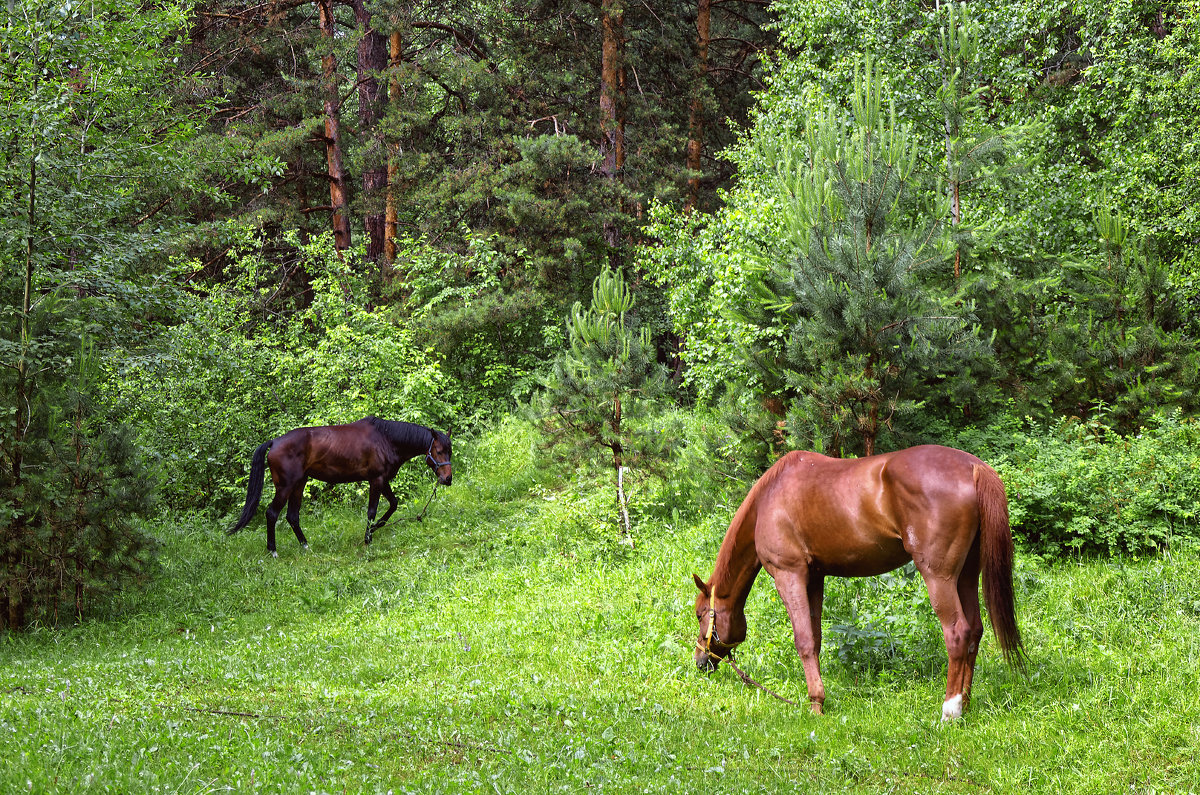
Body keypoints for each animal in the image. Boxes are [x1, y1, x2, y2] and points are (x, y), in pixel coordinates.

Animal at [226, 420, 451, 557]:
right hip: (285, 487)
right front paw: (368, 538)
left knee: (292, 516)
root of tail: (273, 442)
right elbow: (372, 511)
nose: (447, 479)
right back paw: (273, 550)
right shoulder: (376, 480)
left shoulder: (383, 480)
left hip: (299, 484)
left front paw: (376, 528)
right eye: (439, 451)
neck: (385, 439)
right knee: (272, 513)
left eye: (450, 451)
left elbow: (393, 504)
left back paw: (305, 546)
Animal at [696, 444, 1022, 725]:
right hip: (966, 575)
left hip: (939, 577)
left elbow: (803, 641)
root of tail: (973, 467)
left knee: (957, 633)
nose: (701, 661)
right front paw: (818, 701)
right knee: (975, 631)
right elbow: (815, 639)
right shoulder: (814, 578)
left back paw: (950, 711)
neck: (769, 499)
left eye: (700, 615)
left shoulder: (789, 574)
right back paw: (965, 703)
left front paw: (815, 705)